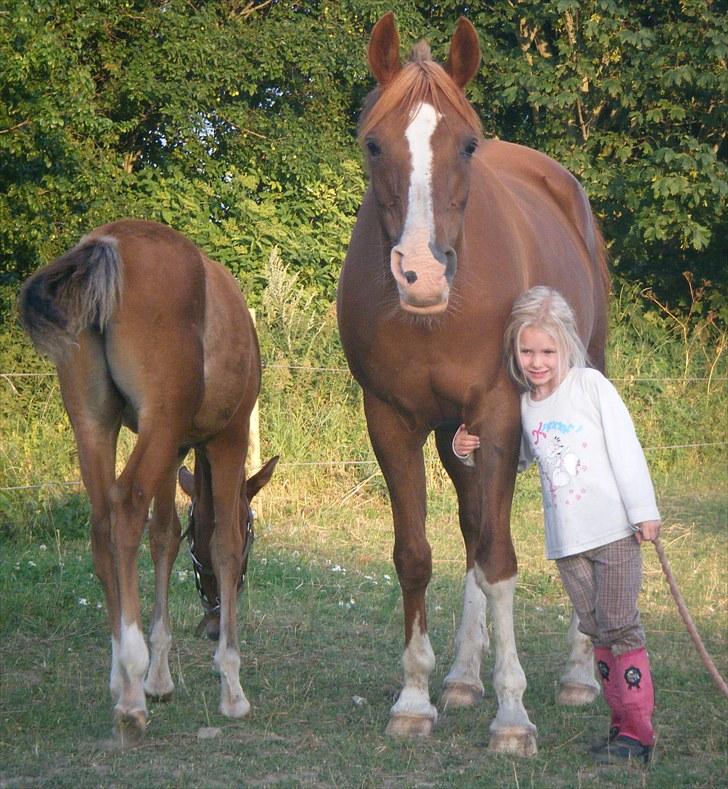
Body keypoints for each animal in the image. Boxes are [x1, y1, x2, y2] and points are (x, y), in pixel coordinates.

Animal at [20, 217, 276, 744]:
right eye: (255, 536)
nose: (211, 624)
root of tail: (107, 245)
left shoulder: (175, 444)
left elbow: (164, 537)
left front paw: (160, 677)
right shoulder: (227, 436)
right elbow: (222, 540)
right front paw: (231, 685)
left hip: (95, 424)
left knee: (102, 524)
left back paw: (123, 675)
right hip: (157, 425)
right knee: (125, 508)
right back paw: (131, 691)